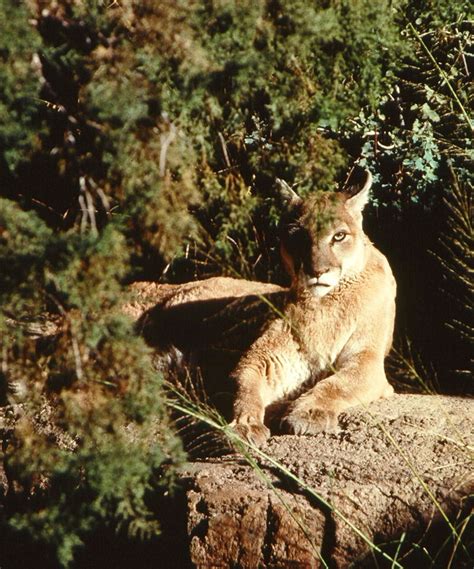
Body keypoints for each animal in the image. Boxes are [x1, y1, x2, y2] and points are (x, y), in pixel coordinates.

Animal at [133, 169, 396, 444]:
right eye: (298, 237)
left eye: (339, 236)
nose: (316, 271)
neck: (323, 303)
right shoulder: (267, 358)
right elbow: (246, 385)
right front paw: (244, 425)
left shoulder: (366, 359)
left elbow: (337, 384)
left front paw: (308, 413)